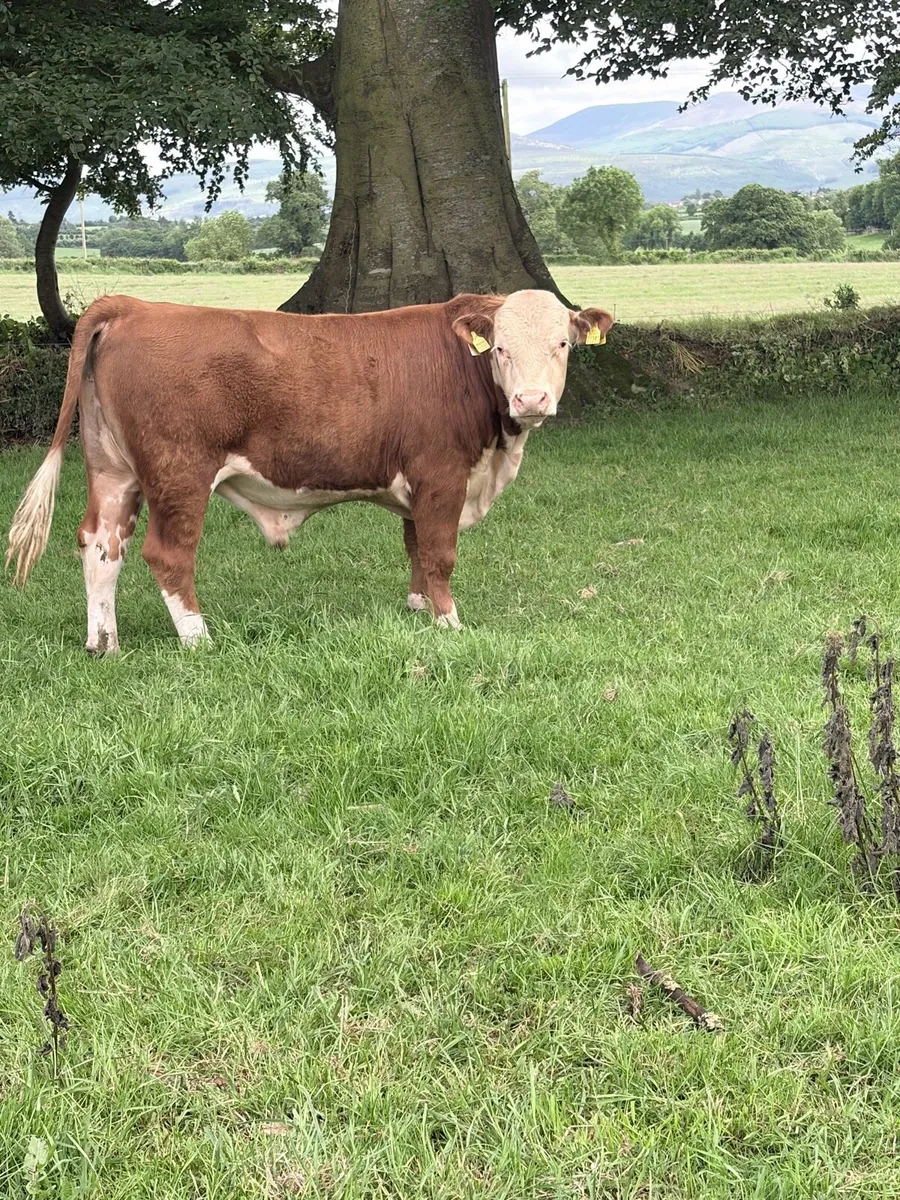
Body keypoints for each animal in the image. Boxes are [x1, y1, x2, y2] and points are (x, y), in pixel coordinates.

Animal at [6, 289, 613, 651]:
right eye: (502, 348)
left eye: (563, 342)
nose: (531, 400)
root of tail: (133, 304)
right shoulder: (441, 474)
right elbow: (439, 553)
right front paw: (448, 622)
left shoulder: (418, 485)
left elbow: (415, 547)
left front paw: (418, 608)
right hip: (178, 472)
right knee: (168, 554)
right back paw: (199, 639)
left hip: (114, 471)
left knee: (101, 544)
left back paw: (103, 643)